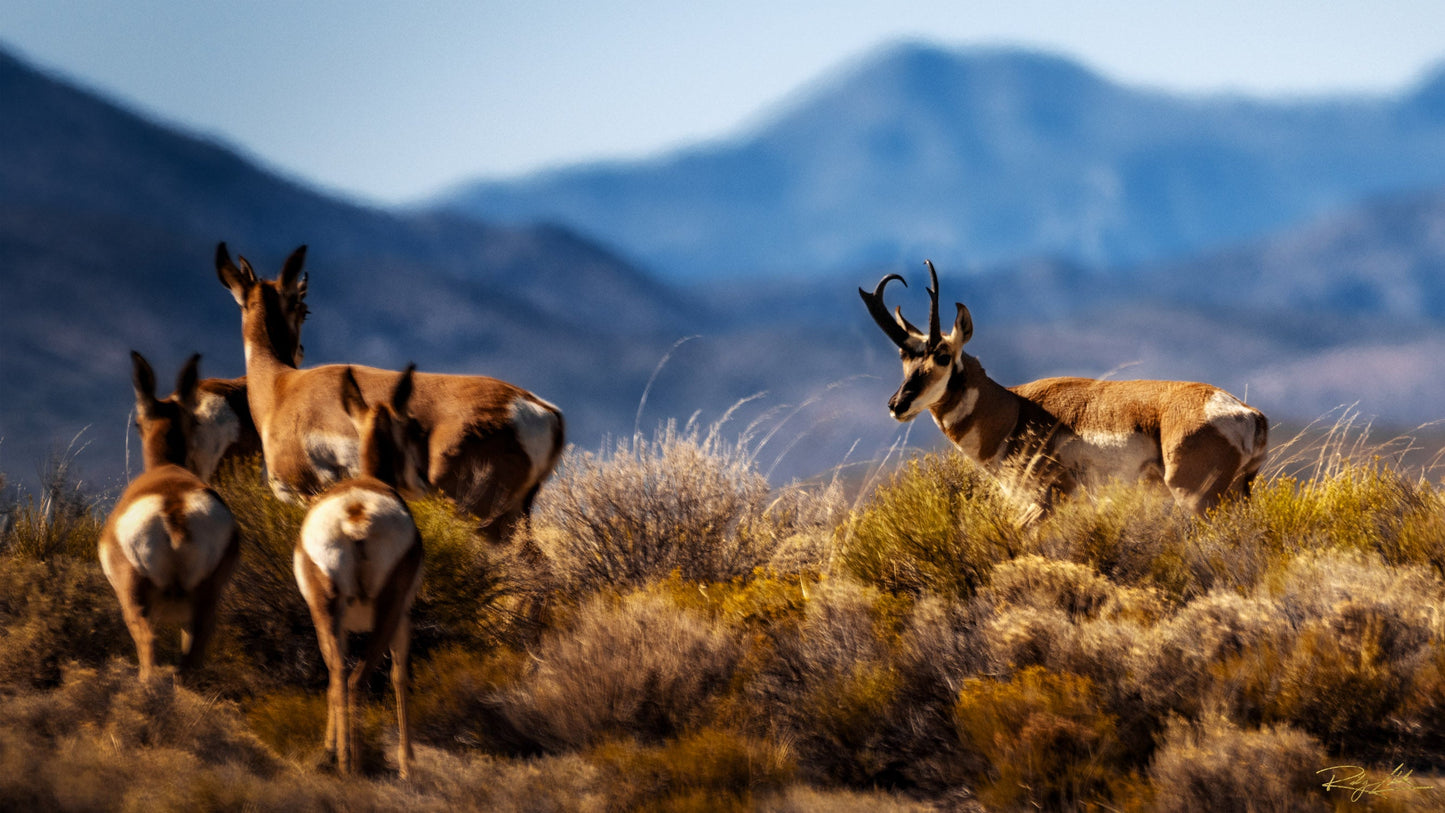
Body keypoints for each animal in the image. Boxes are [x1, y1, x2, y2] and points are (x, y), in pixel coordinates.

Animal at [98, 353, 241, 684]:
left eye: (138, 424)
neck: (166, 472)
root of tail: (174, 507)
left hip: (136, 602)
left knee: (149, 652)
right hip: (204, 607)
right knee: (190, 660)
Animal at [213, 245, 563, 542]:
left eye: (304, 308)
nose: (300, 351)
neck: (281, 386)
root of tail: (538, 407)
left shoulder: (308, 495)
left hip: (482, 519)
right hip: (514, 515)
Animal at [293, 365, 421, 779]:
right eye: (410, 426)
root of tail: (356, 512)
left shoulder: (344, 625)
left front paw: (328, 747)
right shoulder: (403, 618)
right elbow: (399, 675)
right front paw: (407, 763)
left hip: (326, 610)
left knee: (337, 676)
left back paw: (340, 760)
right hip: (387, 613)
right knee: (358, 679)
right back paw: (359, 764)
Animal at [861, 262, 1271, 522]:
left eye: (943, 356)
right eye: (904, 355)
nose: (897, 405)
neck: (1015, 409)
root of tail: (1248, 413)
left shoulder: (1046, 501)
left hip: (1197, 501)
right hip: (1237, 497)